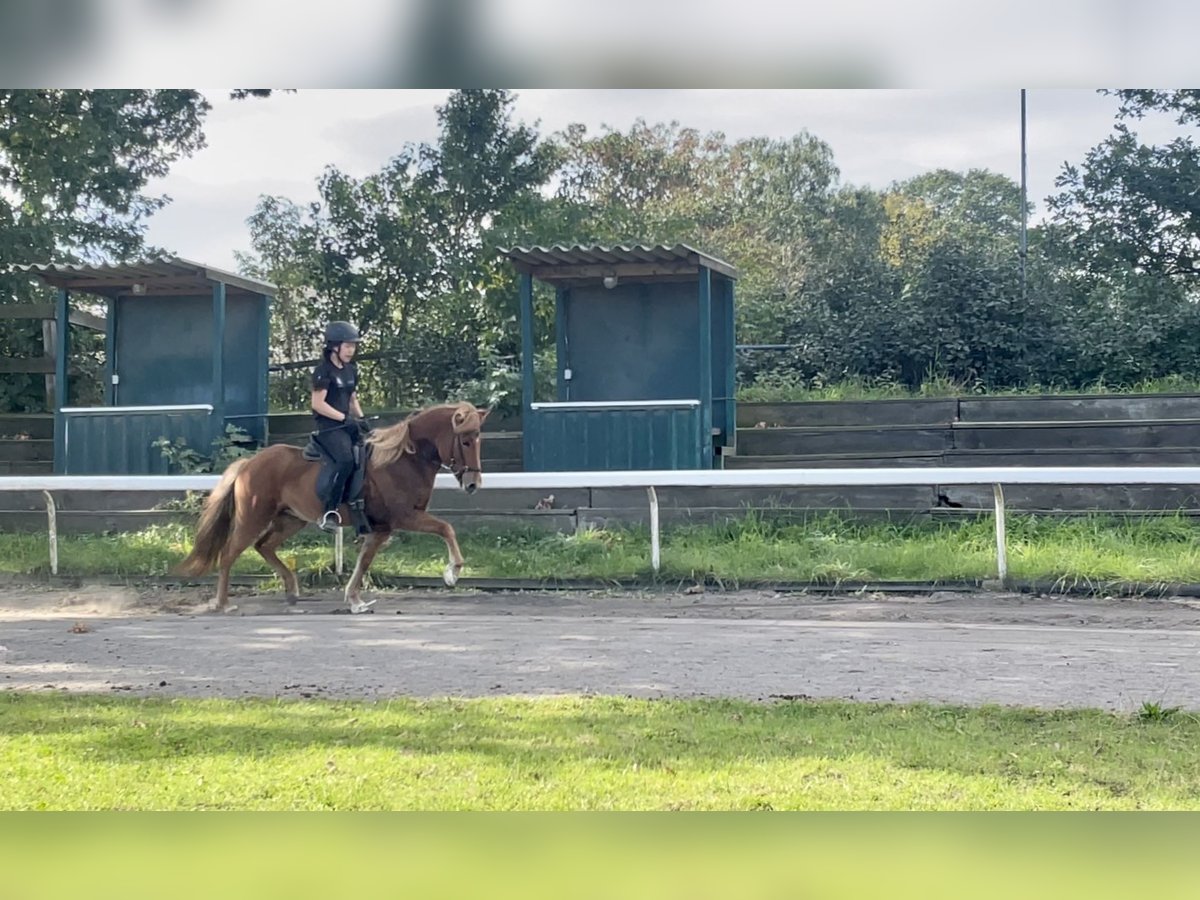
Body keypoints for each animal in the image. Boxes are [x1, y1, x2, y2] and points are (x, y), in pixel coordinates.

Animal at [172, 405, 487, 619]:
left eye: (478, 439)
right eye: (466, 440)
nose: (473, 484)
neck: (403, 459)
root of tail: (249, 463)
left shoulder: (381, 528)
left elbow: (363, 563)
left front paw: (355, 600)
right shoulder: (405, 517)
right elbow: (446, 528)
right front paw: (453, 572)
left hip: (291, 520)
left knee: (264, 546)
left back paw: (291, 591)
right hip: (253, 517)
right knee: (229, 554)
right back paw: (224, 603)